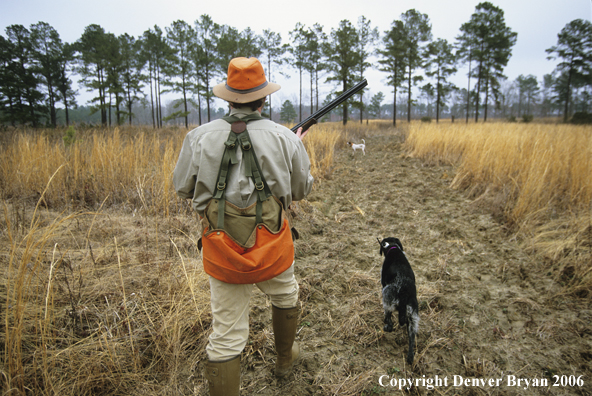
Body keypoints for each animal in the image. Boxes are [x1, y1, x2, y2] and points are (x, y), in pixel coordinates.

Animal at [376, 238, 418, 366]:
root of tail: (404, 293)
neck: (393, 248)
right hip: (413, 317)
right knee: (411, 339)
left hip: (387, 297)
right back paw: (410, 358)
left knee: (389, 321)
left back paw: (386, 327)